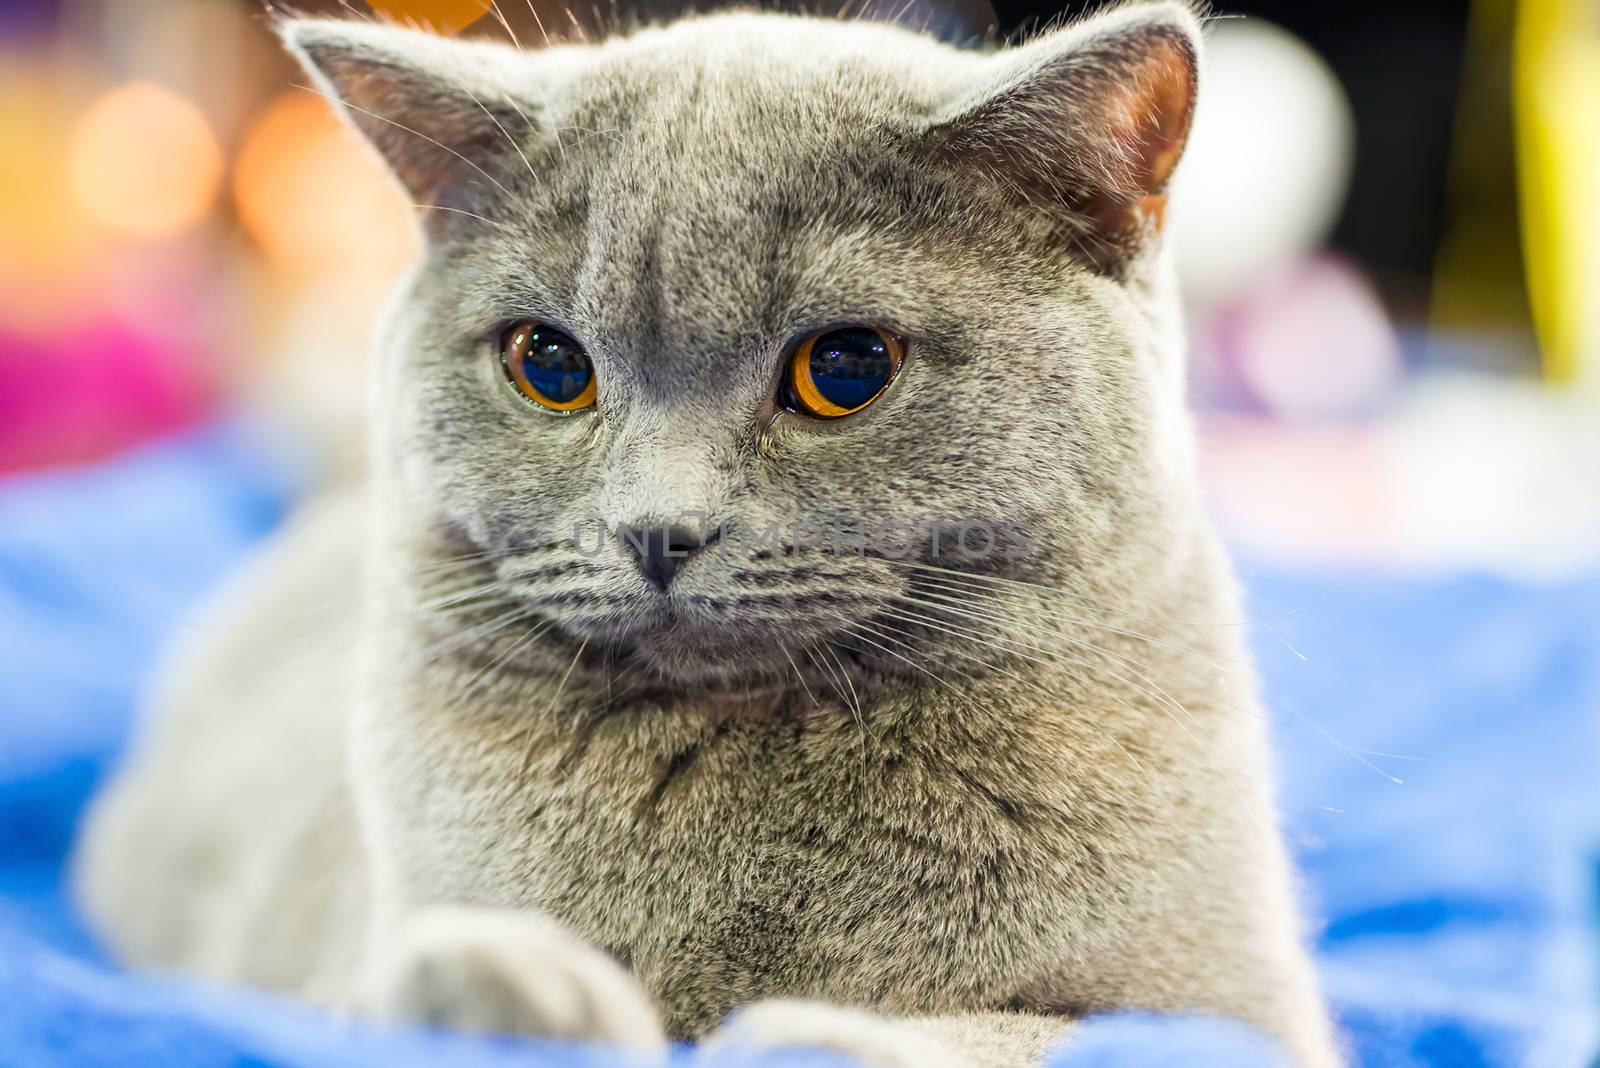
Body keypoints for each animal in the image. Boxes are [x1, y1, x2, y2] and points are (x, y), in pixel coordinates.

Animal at [78, 4, 1337, 1061]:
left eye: (846, 368)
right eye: (549, 365)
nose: (658, 530)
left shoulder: (1236, 1014)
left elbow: (1012, 1031)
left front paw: (802, 1033)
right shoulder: (330, 959)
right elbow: (388, 981)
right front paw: (520, 988)